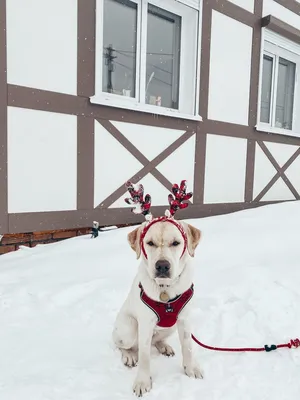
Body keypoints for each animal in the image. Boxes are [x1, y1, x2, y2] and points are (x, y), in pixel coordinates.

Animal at [112, 216, 202, 394]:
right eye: (150, 243)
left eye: (176, 243)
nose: (162, 266)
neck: (165, 288)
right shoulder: (145, 324)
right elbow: (144, 357)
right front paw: (142, 381)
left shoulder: (184, 319)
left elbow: (187, 346)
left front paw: (190, 369)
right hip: (129, 329)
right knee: (121, 345)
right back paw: (129, 356)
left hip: (171, 327)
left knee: (156, 341)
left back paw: (164, 346)